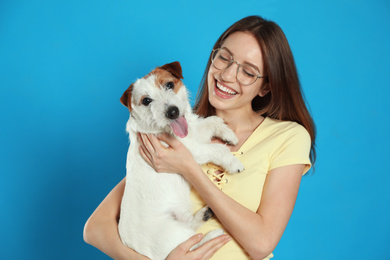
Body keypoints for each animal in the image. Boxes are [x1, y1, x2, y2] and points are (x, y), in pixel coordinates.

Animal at [118, 61, 244, 260]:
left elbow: (212, 121)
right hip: (174, 235)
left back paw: (204, 215)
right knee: (193, 245)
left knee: (191, 226)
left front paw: (228, 134)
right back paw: (213, 236)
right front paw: (233, 162)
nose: (172, 112)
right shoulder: (193, 150)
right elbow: (217, 149)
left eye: (169, 85)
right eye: (146, 101)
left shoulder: (195, 133)